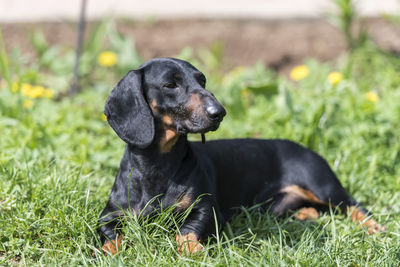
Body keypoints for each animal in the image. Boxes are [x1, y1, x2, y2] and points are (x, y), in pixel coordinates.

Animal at [97, 58, 384, 255]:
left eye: (202, 81)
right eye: (171, 84)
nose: (219, 112)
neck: (158, 166)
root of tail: (305, 148)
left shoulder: (206, 211)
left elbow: (187, 232)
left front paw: (191, 251)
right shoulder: (109, 216)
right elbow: (110, 235)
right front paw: (106, 253)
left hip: (323, 187)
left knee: (355, 206)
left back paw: (374, 228)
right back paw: (306, 215)